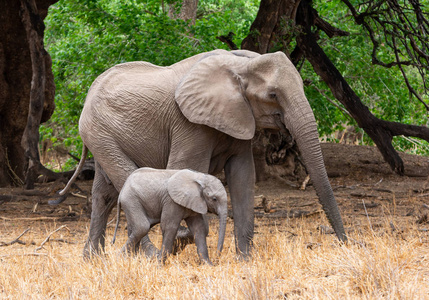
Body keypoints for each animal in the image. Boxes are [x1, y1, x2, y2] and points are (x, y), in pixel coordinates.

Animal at [61, 49, 348, 258]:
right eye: (273, 94)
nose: (345, 243)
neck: (240, 64)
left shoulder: (239, 117)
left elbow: (243, 176)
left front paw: (246, 260)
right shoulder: (189, 123)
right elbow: (185, 168)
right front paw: (180, 241)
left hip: (103, 136)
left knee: (104, 194)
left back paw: (93, 260)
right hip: (99, 130)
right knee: (126, 182)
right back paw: (148, 255)